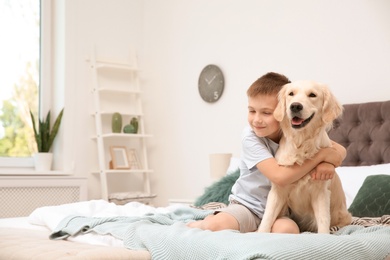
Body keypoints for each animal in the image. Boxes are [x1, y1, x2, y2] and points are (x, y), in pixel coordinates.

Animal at [258, 79, 352, 234]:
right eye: (291, 94)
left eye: (312, 95)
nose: (295, 106)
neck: (301, 143)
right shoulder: (278, 189)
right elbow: (267, 218)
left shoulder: (321, 192)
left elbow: (323, 220)